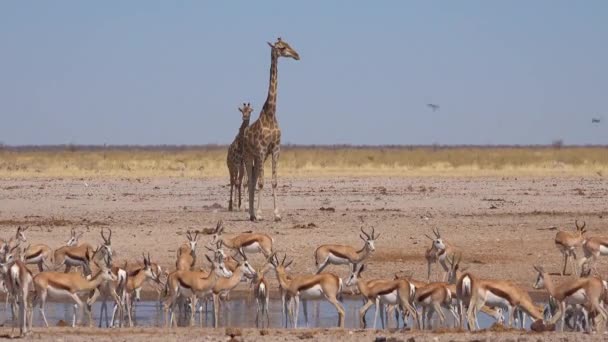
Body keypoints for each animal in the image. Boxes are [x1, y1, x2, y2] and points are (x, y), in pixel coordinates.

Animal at [242, 38, 300, 222]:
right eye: (281, 47)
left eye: (289, 43)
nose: (297, 55)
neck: (271, 113)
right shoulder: (261, 150)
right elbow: (261, 182)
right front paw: (260, 213)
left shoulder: (275, 149)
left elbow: (273, 181)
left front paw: (277, 214)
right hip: (248, 155)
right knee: (250, 181)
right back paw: (251, 214)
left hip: (258, 157)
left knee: (253, 179)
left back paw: (252, 213)